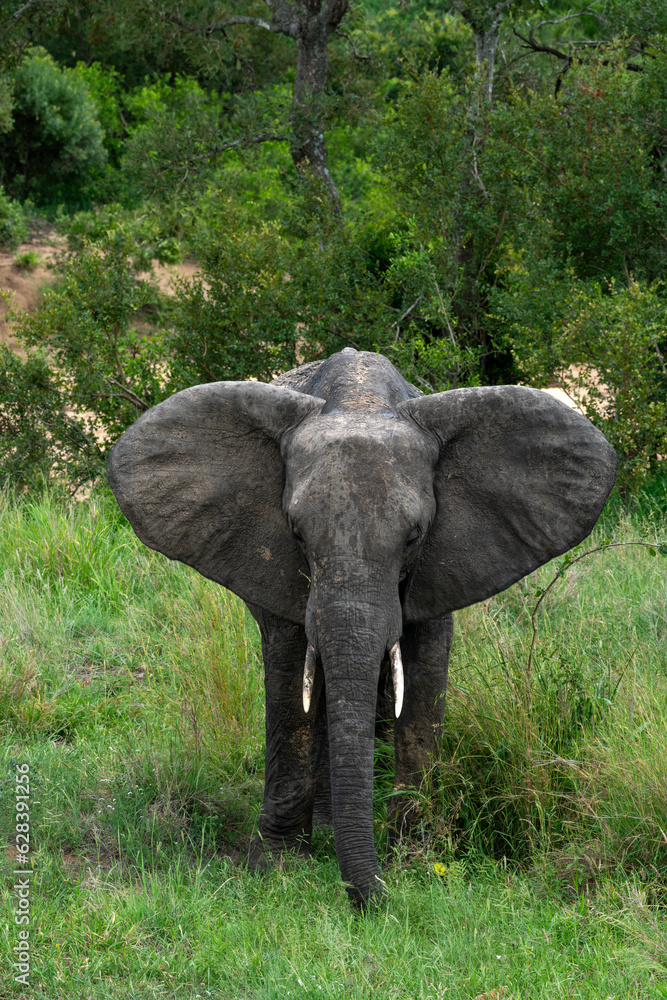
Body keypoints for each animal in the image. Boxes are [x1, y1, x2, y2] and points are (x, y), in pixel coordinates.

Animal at [107, 347, 617, 908]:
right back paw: (329, 828)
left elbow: (422, 677)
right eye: (296, 532)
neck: (361, 401)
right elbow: (290, 678)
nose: (376, 900)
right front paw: (279, 867)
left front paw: (415, 861)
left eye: (414, 536)